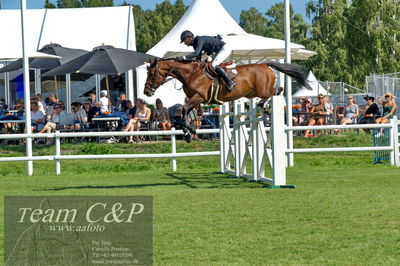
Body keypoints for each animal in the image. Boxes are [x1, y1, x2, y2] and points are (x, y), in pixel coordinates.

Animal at [144, 57, 310, 142]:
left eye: (151, 73)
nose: (146, 91)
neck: (190, 73)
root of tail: (266, 64)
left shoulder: (199, 97)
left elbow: (184, 110)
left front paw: (188, 132)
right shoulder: (194, 100)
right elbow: (183, 113)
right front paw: (188, 132)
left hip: (263, 90)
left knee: (277, 91)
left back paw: (263, 105)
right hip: (251, 93)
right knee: (276, 91)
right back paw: (262, 105)